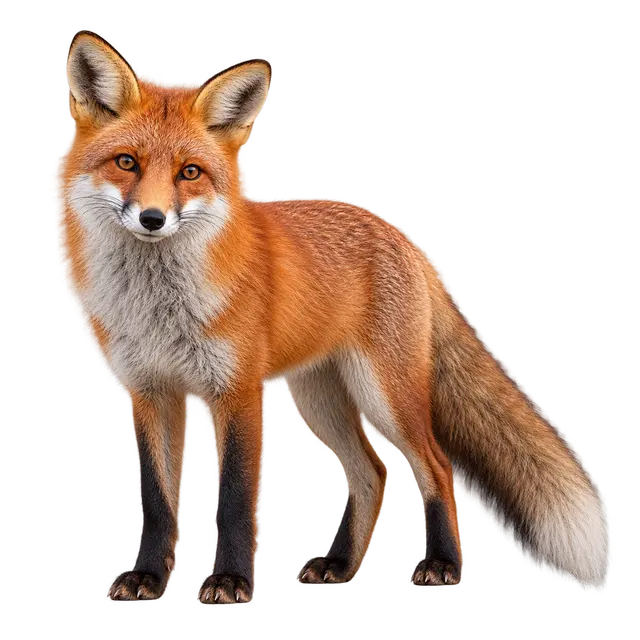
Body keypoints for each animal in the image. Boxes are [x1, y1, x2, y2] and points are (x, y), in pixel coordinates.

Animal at [53, 30, 613, 606]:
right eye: (126, 163)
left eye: (189, 173)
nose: (152, 218)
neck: (159, 309)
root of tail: (406, 239)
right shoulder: (149, 392)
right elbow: (158, 502)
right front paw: (147, 576)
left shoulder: (238, 392)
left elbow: (235, 501)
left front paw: (230, 580)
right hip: (320, 399)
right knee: (373, 474)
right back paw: (341, 565)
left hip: (385, 396)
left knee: (436, 468)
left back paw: (440, 564)